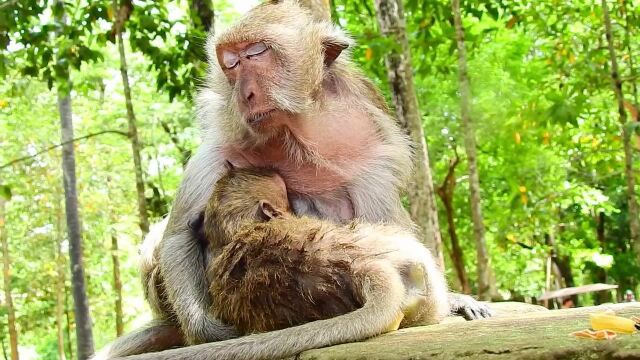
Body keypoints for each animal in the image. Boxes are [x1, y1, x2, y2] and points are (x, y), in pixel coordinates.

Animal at [95, 1, 488, 358]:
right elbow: (178, 234)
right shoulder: (224, 133)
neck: (291, 128)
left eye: (257, 53)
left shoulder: (369, 138)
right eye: (231, 63)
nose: (245, 93)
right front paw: (210, 331)